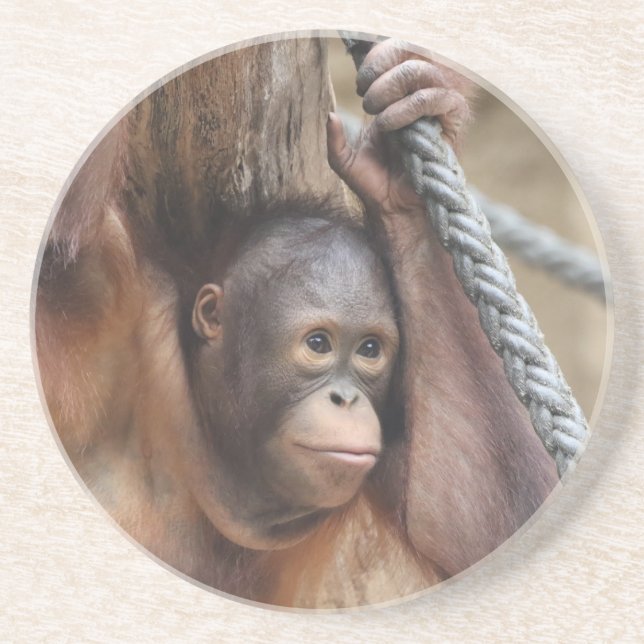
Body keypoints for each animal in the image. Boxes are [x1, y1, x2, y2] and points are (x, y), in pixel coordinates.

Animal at [34, 37, 558, 607]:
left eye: (370, 351)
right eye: (318, 344)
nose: (346, 399)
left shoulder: (392, 452)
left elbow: (484, 518)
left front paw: (408, 135)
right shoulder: (104, 294)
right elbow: (67, 230)